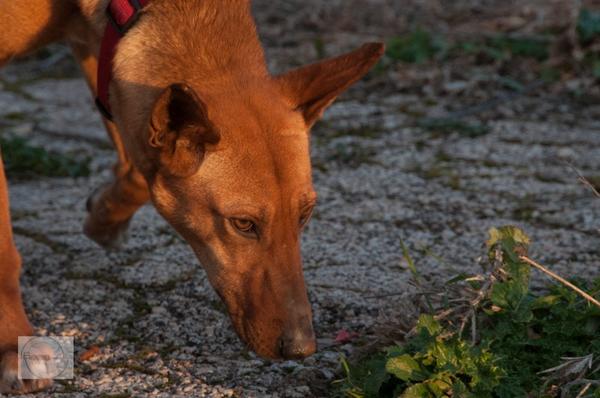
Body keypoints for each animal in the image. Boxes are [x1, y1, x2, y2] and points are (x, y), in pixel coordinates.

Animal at [0, 0, 384, 392]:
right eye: (243, 223)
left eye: (304, 216)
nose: (301, 348)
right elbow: (4, 251)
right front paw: (13, 346)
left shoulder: (110, 60)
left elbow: (138, 169)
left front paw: (104, 218)